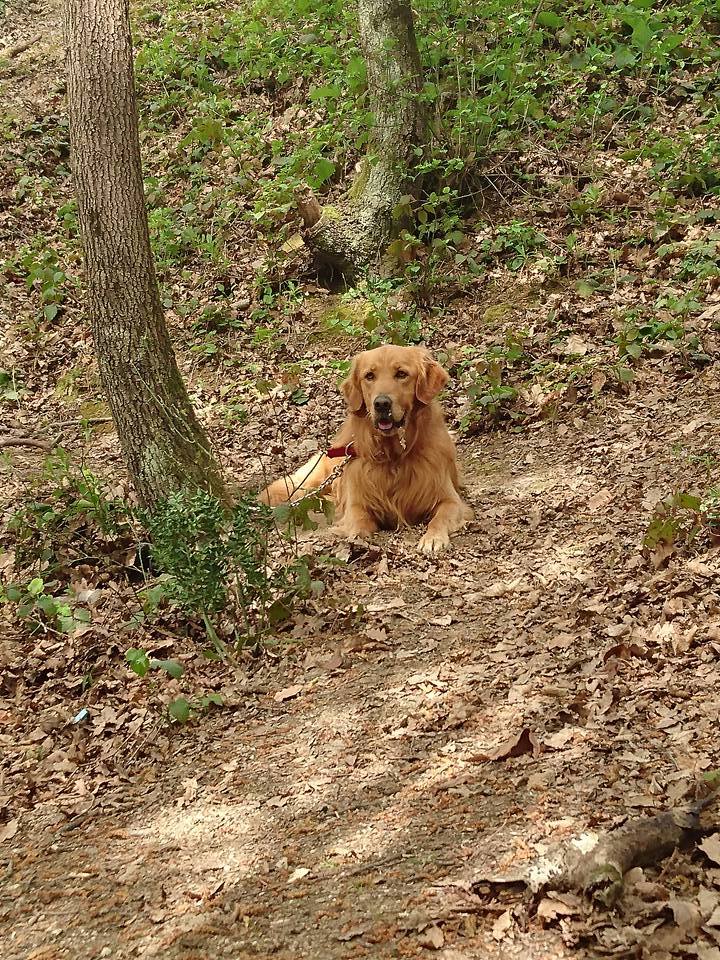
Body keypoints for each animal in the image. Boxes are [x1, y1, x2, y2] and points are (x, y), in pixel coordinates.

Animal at [260, 344, 472, 556]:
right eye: (369, 376)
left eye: (401, 374)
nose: (381, 404)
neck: (393, 456)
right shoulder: (357, 502)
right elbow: (358, 519)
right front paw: (357, 538)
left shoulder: (449, 499)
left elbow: (440, 517)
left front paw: (433, 538)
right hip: (311, 482)